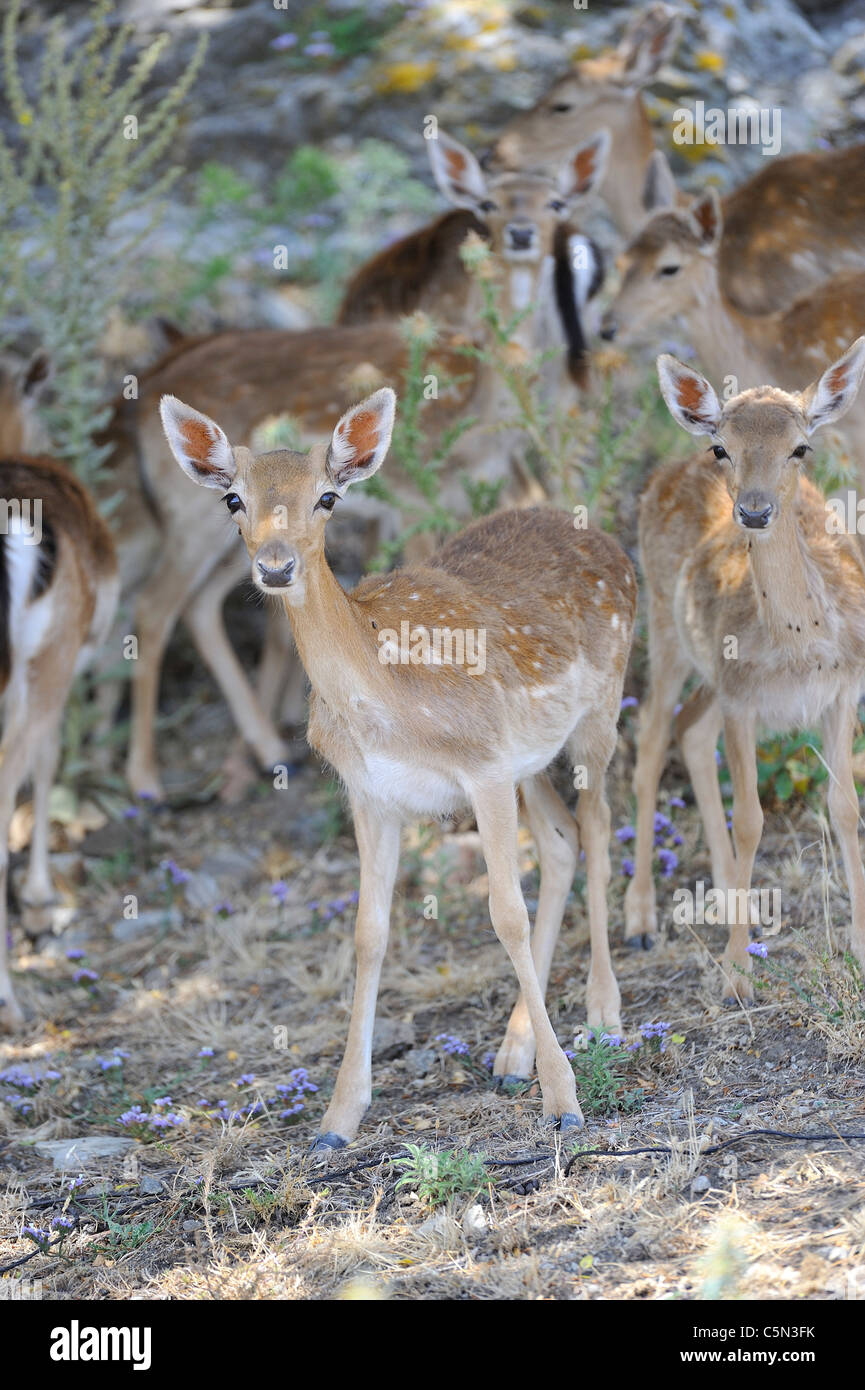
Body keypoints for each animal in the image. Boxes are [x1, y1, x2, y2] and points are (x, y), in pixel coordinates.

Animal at [161, 389, 636, 1139]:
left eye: (327, 497)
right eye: (233, 499)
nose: (275, 567)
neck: (388, 706)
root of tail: (600, 535)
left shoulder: (483, 766)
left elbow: (505, 913)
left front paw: (564, 1103)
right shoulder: (370, 792)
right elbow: (368, 932)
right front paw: (338, 1116)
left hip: (600, 711)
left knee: (596, 830)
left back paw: (603, 1015)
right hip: (532, 758)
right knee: (561, 841)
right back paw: (513, 1053)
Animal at [625, 344, 865, 1000]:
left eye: (800, 447)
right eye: (723, 448)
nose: (753, 512)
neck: (800, 647)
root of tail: (661, 473)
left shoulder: (845, 689)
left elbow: (844, 807)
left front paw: (861, 947)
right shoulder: (741, 699)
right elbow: (752, 820)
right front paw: (736, 974)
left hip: (709, 672)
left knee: (689, 730)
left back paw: (739, 902)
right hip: (664, 626)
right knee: (651, 739)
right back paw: (641, 920)